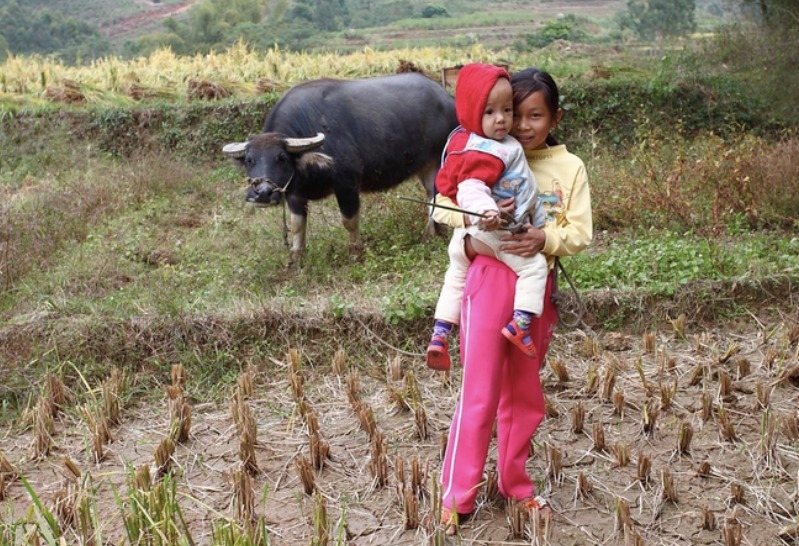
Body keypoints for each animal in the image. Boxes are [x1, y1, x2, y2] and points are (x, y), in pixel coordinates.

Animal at [223, 72, 456, 264]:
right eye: (250, 160)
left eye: (281, 158)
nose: (262, 193)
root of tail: (446, 99)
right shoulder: (294, 193)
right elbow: (297, 225)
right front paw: (296, 259)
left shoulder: (347, 184)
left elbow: (349, 221)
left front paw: (355, 253)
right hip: (424, 166)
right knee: (431, 196)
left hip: (440, 160)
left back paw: (429, 236)